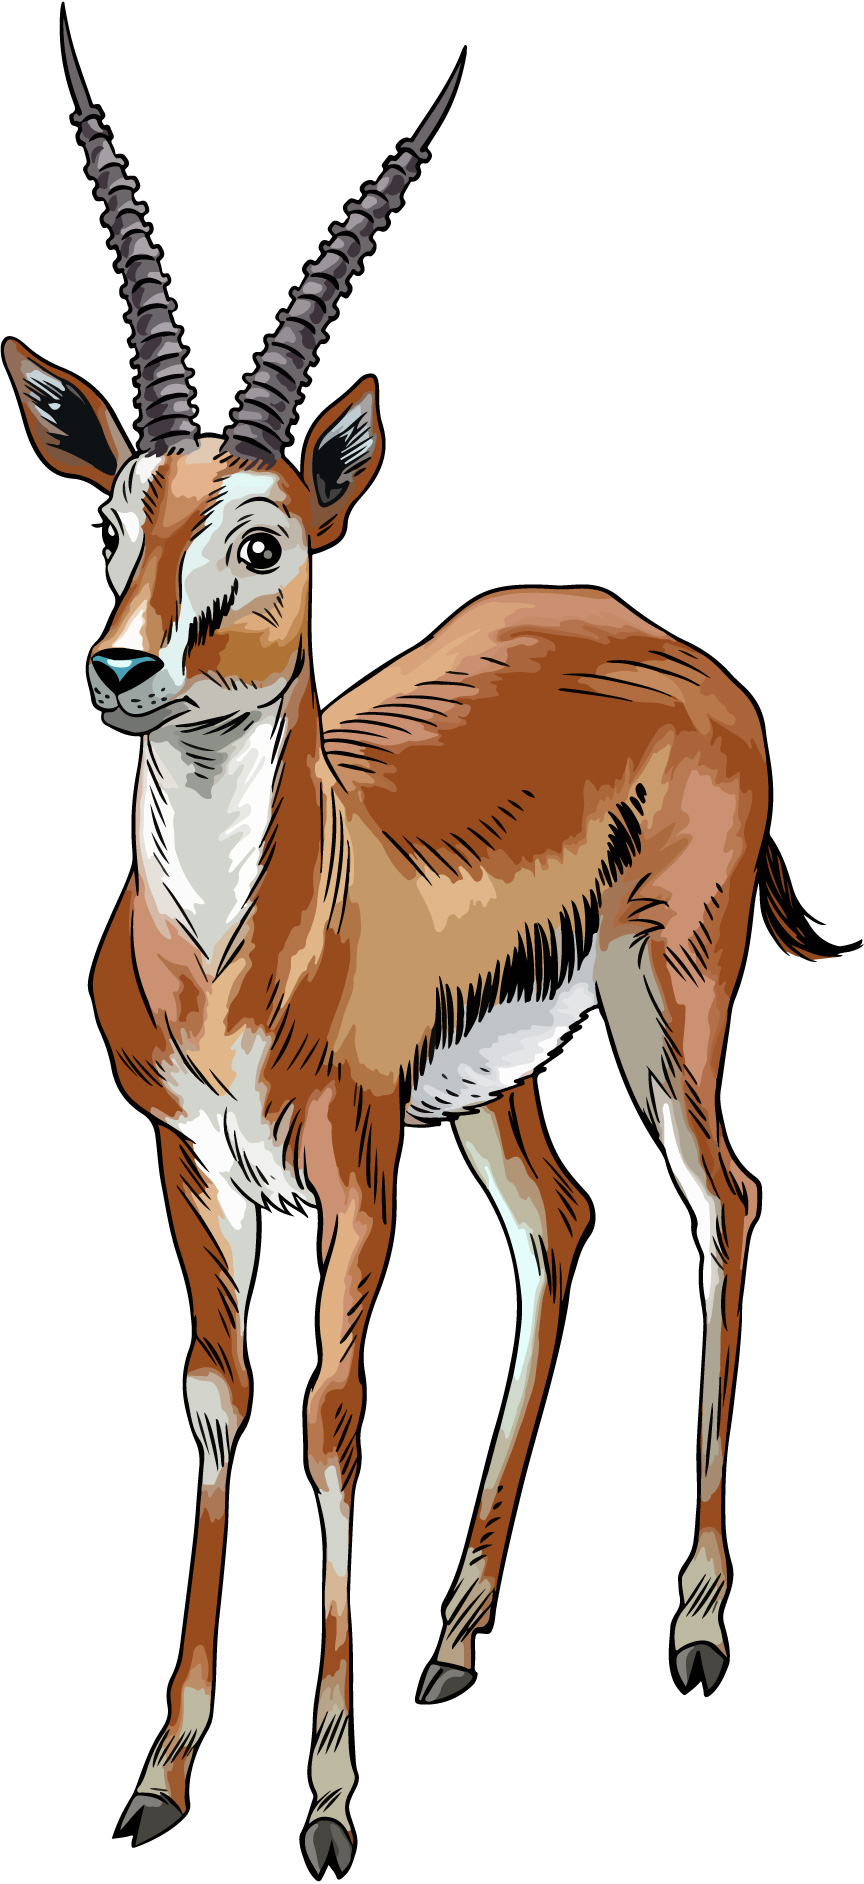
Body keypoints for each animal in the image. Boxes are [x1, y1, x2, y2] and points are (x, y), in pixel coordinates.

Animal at [5, 10, 857, 1876]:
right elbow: (218, 1394)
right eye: (108, 522)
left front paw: (326, 1800)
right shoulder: (188, 1157)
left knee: (722, 1200)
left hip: (663, 1003)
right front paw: (162, 1768)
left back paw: (694, 1624)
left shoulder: (351, 1164)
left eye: (263, 537)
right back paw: (457, 1630)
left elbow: (332, 1413)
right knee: (561, 1226)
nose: (119, 668)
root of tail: (672, 640)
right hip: (496, 1088)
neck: (240, 958)